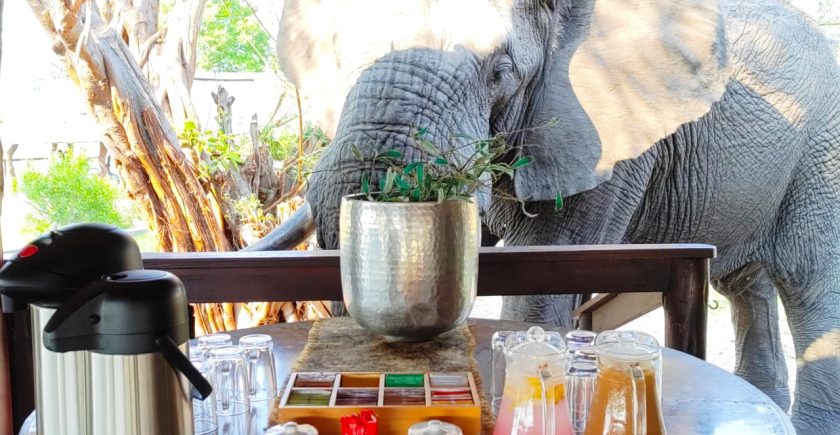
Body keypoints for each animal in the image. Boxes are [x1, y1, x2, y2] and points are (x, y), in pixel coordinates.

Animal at [258, 0, 840, 430]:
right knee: (745, 287)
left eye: (500, 72)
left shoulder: (607, 135)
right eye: (336, 56)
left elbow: (541, 274)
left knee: (807, 281)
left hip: (821, 151)